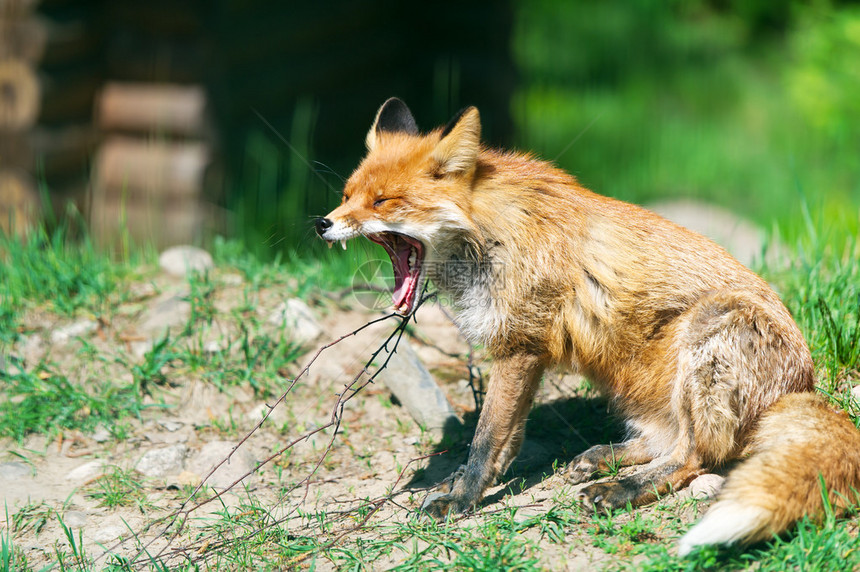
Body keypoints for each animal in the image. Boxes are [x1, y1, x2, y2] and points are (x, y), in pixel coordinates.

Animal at [316, 98, 860, 556]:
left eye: (383, 201)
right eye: (347, 195)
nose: (323, 223)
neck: (492, 232)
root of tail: (802, 386)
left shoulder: (518, 347)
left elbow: (486, 439)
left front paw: (463, 498)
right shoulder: (527, 351)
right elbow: (505, 442)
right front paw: (468, 485)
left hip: (709, 333)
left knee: (695, 455)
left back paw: (620, 489)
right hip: (633, 382)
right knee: (669, 441)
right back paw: (601, 458)